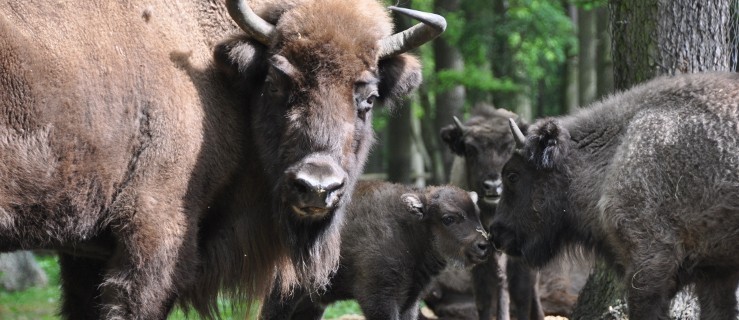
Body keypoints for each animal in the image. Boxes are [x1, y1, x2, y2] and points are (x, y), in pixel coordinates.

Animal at [260, 181, 492, 318]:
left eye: (477, 214)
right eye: (448, 218)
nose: (483, 245)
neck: (410, 230)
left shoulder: (410, 299)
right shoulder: (379, 297)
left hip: (311, 300)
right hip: (283, 293)